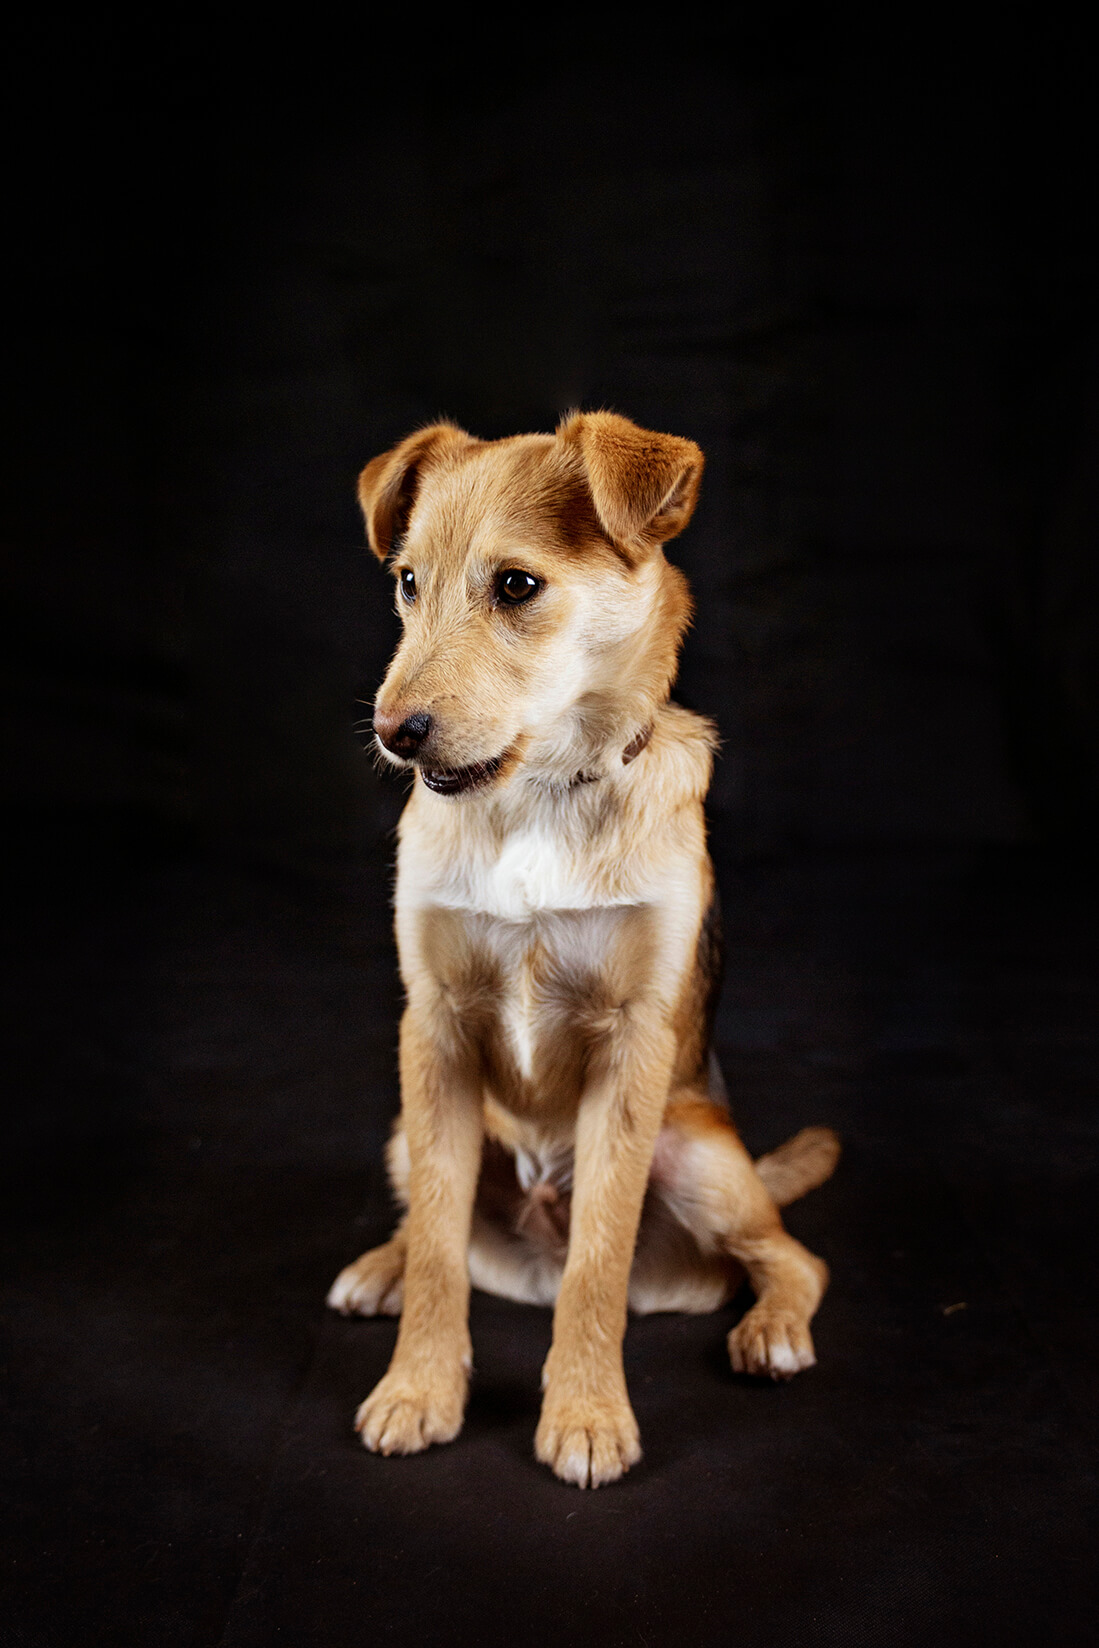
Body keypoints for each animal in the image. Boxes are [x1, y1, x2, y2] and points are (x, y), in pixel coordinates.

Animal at [329, 408, 843, 1483]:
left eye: (516, 586)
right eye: (407, 582)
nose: (394, 735)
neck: (535, 795)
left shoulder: (633, 1047)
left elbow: (597, 1264)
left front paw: (587, 1413)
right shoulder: (432, 1032)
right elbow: (438, 1247)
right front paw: (417, 1387)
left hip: (696, 1150)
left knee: (788, 1255)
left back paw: (771, 1328)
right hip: (411, 1123)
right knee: (433, 1223)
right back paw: (380, 1267)